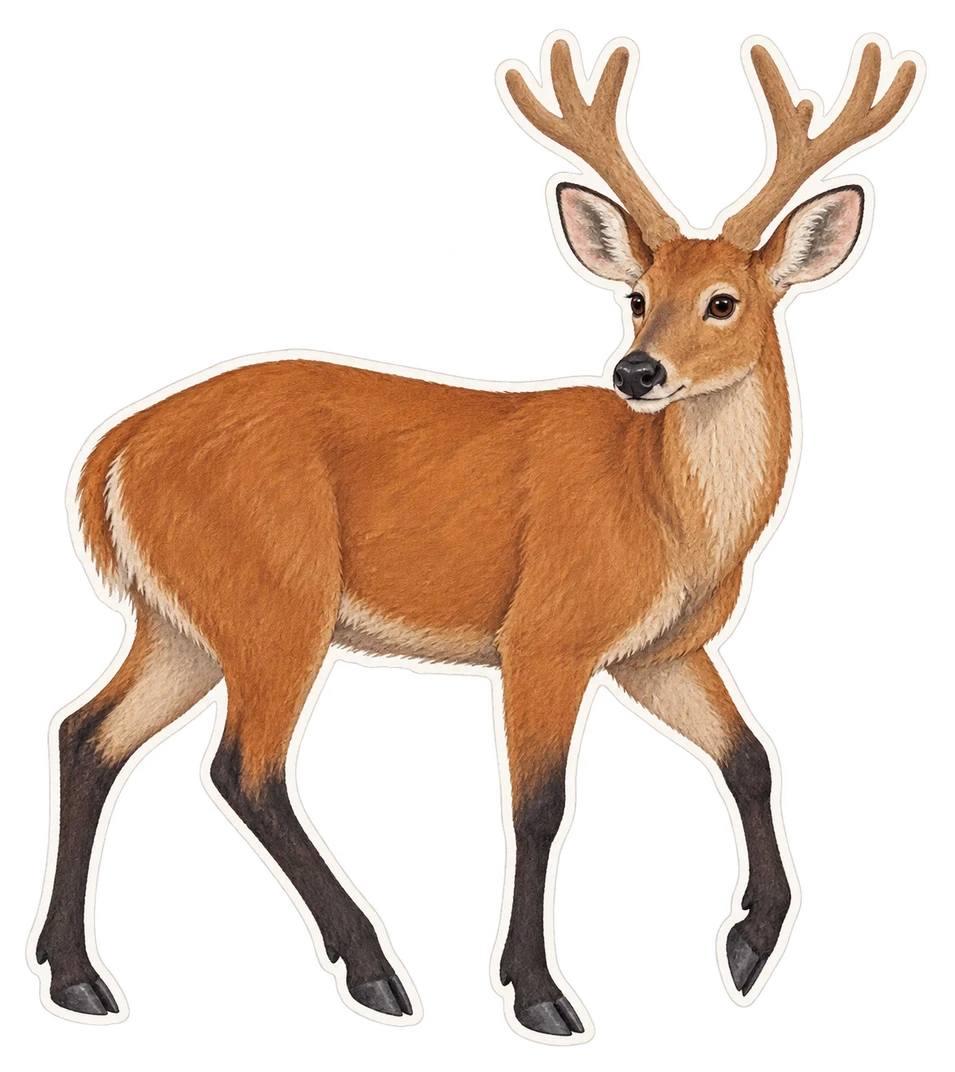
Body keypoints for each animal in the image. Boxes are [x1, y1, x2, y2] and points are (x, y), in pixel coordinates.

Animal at [28, 29, 924, 1043]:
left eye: (723, 300)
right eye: (638, 294)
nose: (637, 372)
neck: (670, 516)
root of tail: (111, 452)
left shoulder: (662, 650)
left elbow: (752, 757)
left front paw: (745, 949)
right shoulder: (546, 632)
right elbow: (538, 804)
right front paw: (539, 994)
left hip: (180, 619)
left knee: (86, 734)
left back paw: (79, 980)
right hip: (276, 596)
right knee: (240, 768)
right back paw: (378, 974)